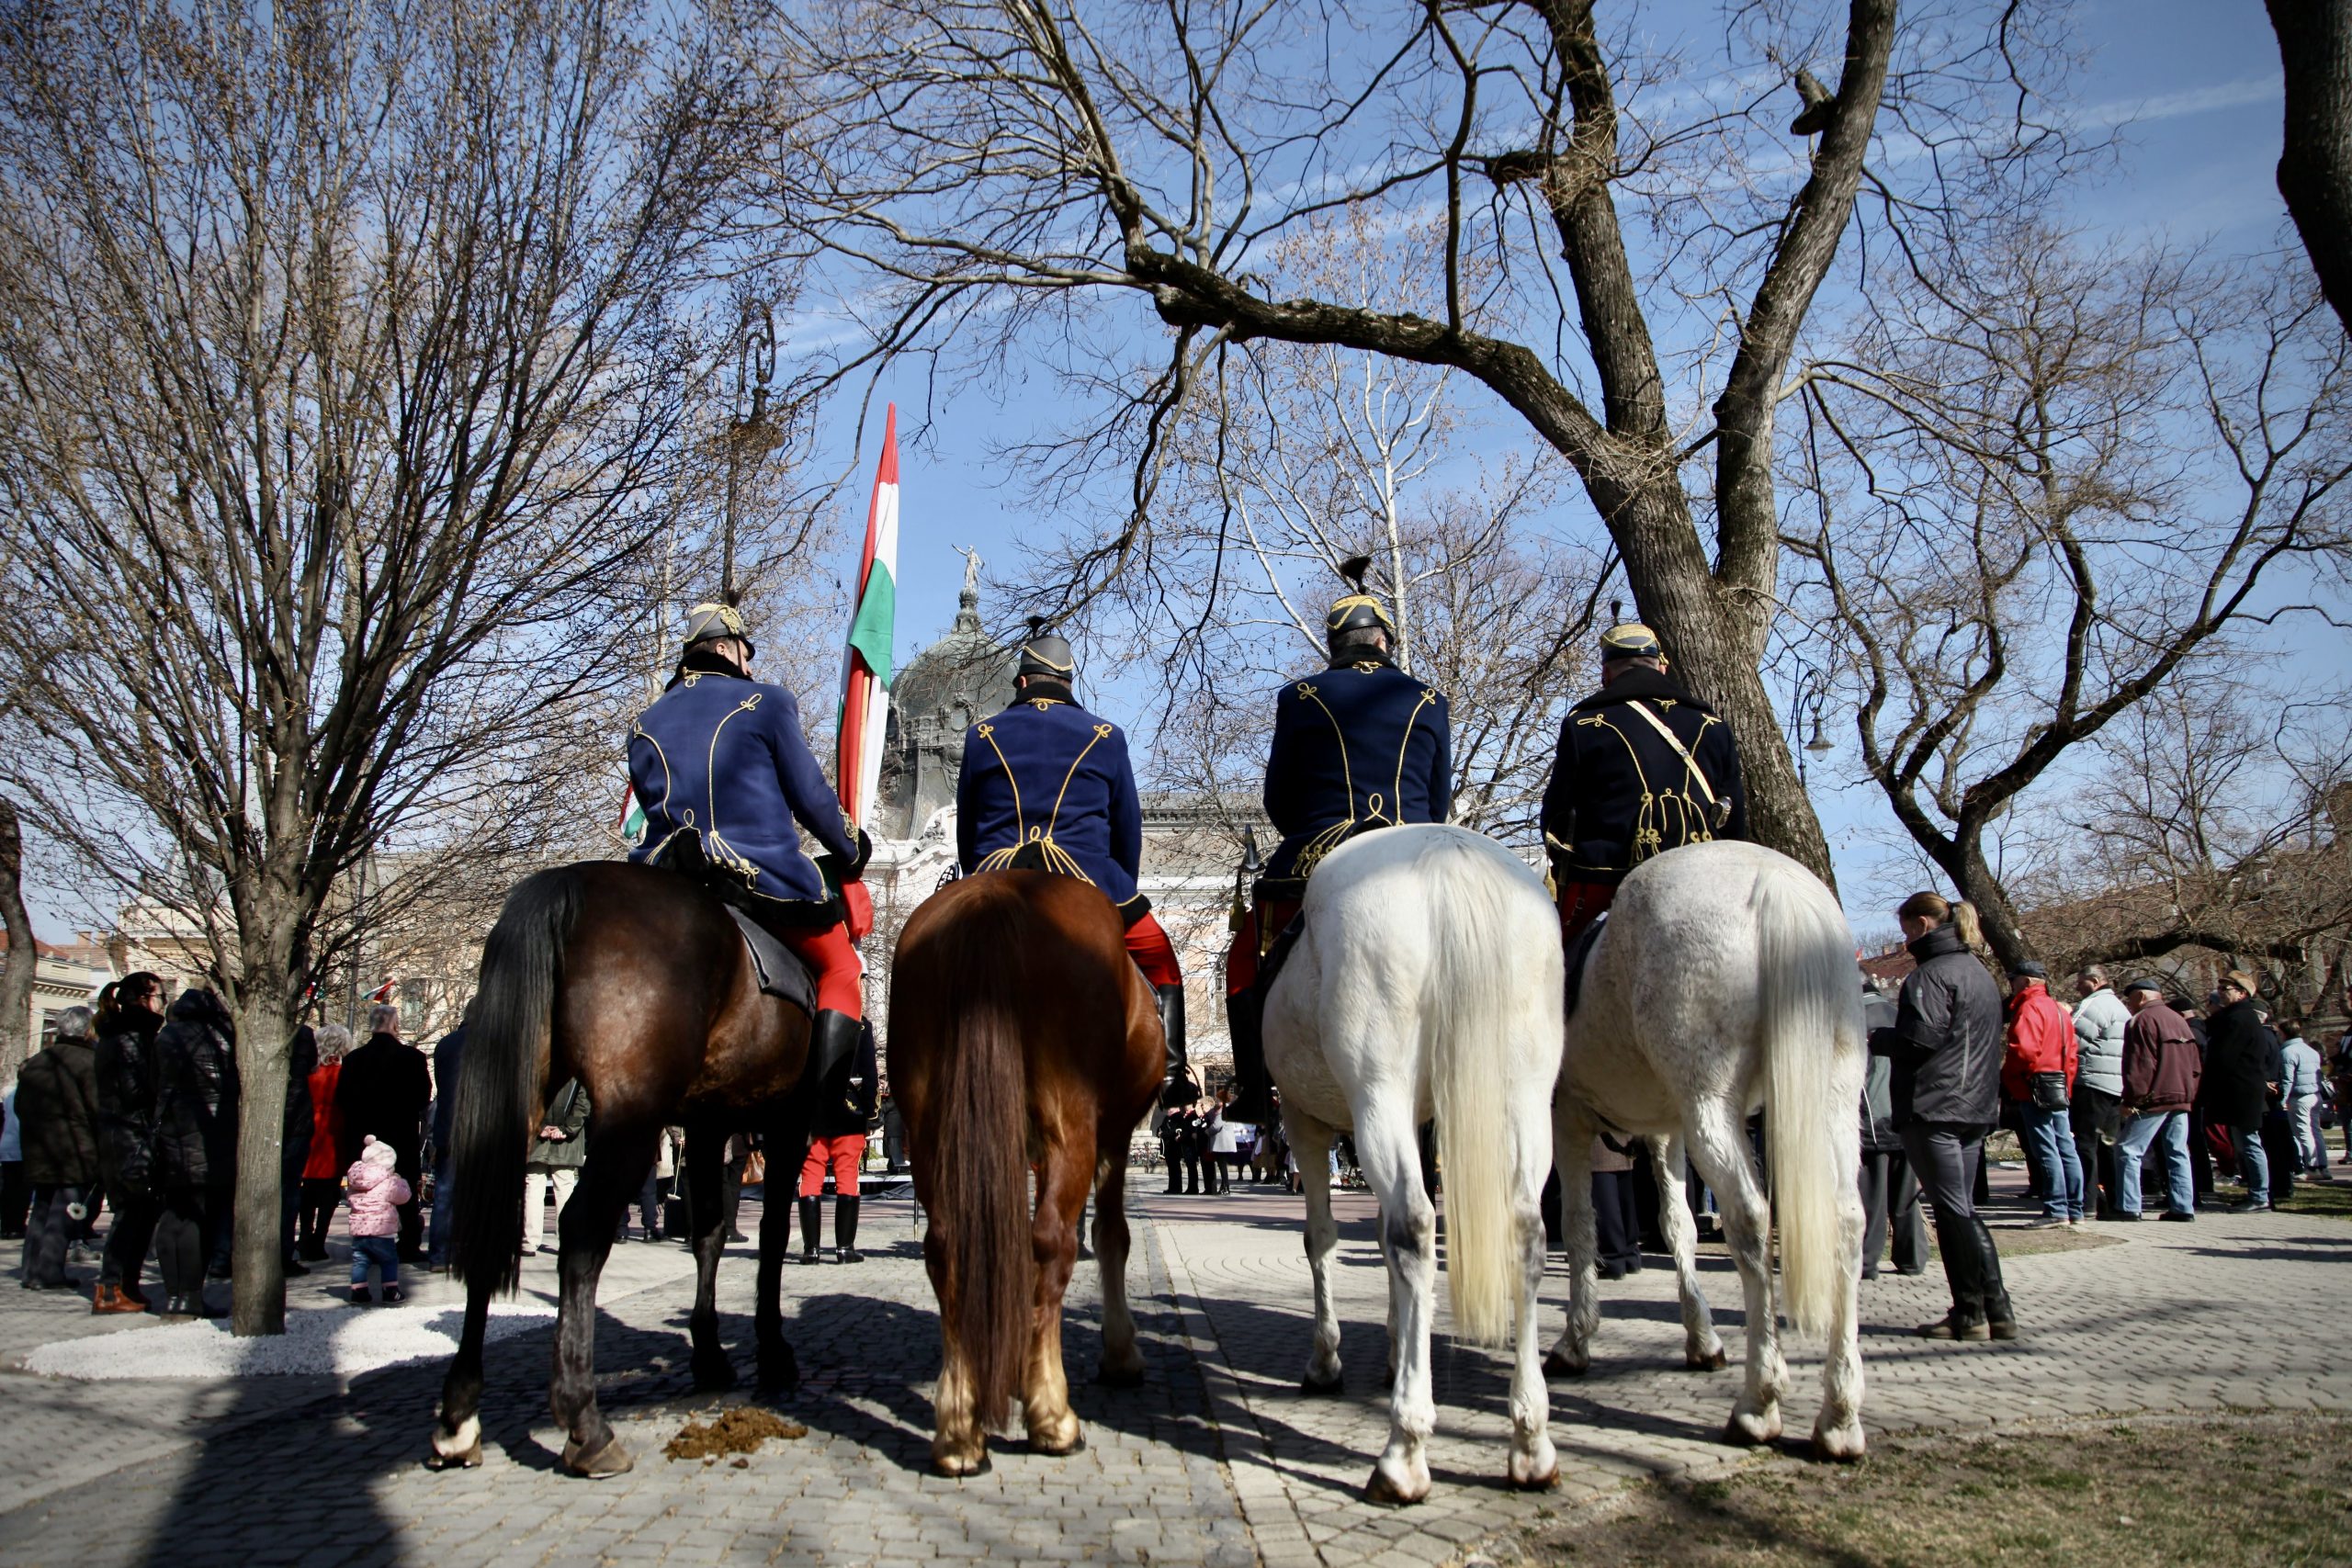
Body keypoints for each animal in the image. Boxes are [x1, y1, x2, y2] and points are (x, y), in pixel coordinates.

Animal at [427, 864, 823, 1476]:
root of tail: (566, 883)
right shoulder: (787, 1123)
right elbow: (774, 1235)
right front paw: (774, 1352)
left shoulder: (709, 1122)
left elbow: (709, 1233)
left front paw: (710, 1355)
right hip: (633, 1117)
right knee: (580, 1230)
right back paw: (586, 1426)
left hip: (521, 1101)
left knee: (490, 1222)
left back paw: (459, 1418)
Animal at [888, 869, 1166, 1476]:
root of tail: (994, 898)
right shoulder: (1113, 1134)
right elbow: (1111, 1236)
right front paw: (1119, 1354)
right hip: (1071, 1123)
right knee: (1052, 1242)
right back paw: (1052, 1418)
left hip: (929, 1129)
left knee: (947, 1246)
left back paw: (960, 1430)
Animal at [1270, 827, 1561, 1504]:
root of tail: (1446, 852)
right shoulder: (1426, 1122)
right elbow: (1376, 1239)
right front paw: (1398, 1343)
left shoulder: (1302, 1119)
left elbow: (1323, 1237)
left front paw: (1327, 1359)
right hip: (1527, 1095)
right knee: (1524, 1231)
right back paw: (1531, 1439)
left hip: (1379, 1093)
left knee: (1416, 1228)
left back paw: (1404, 1448)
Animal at [1543, 841, 1871, 1466]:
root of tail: (1774, 880)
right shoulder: (1665, 1132)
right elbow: (1679, 1226)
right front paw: (1702, 1338)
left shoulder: (1566, 1118)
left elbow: (1577, 1228)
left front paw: (1575, 1340)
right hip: (1832, 1101)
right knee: (1845, 1222)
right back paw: (1839, 1415)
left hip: (1711, 1109)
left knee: (1752, 1220)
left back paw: (1759, 1402)